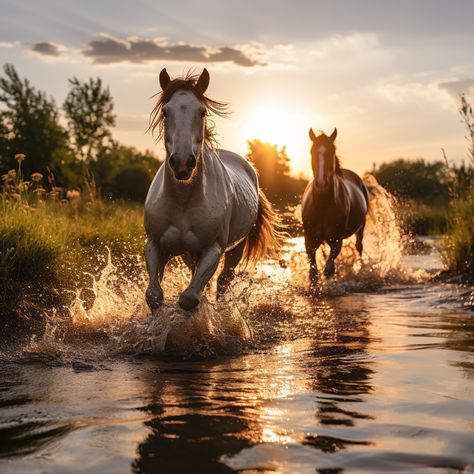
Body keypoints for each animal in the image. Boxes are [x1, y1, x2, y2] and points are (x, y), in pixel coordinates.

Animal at [144, 68, 278, 310]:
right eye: (166, 111)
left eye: (202, 112)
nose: (182, 163)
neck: (183, 201)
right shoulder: (155, 245)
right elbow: (154, 295)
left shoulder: (212, 251)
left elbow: (189, 298)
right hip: (188, 254)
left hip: (234, 250)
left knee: (224, 279)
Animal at [302, 128, 368, 286]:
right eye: (311, 151)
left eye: (332, 151)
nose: (321, 183)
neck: (322, 206)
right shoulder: (309, 240)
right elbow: (313, 273)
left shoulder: (337, 240)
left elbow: (329, 268)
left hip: (361, 227)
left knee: (359, 247)